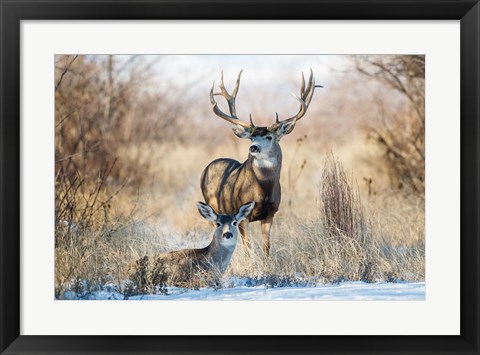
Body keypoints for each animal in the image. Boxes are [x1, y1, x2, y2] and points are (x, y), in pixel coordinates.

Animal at [201, 69, 320, 256]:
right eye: (251, 137)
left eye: (269, 137)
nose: (253, 147)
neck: (263, 189)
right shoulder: (242, 214)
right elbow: (248, 248)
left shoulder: (270, 213)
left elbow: (266, 248)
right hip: (213, 207)